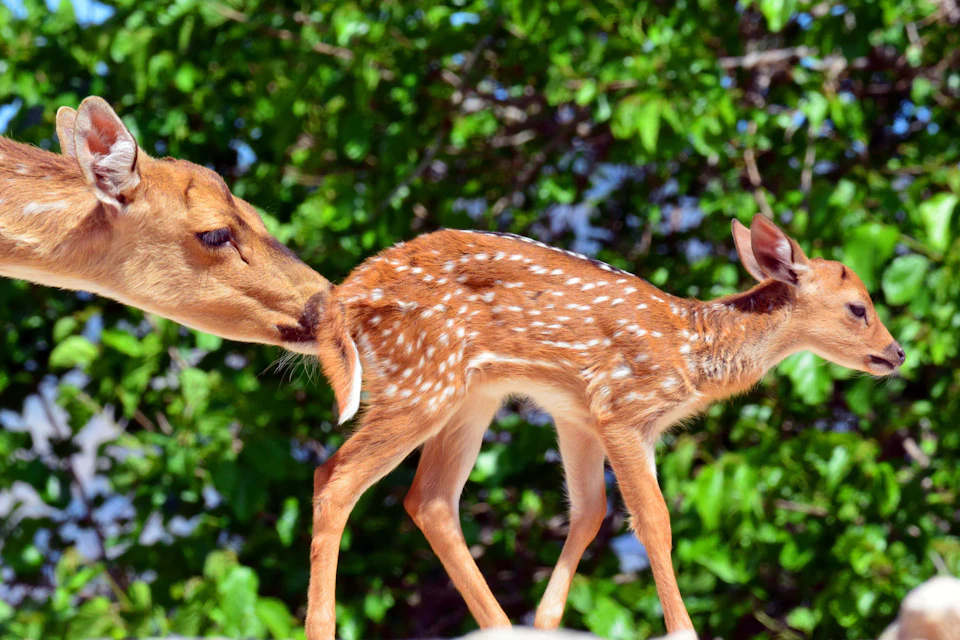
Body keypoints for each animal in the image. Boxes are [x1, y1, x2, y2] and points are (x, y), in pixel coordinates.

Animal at [306, 215, 904, 639]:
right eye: (858, 308)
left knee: (428, 499)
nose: (896, 353)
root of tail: (347, 295)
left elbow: (590, 511)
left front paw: (547, 622)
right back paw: (321, 627)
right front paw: (683, 632)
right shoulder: (624, 407)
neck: (693, 352)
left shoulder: (579, 416)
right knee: (335, 478)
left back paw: (501, 626)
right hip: (420, 380)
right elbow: (654, 520)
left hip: (471, 396)